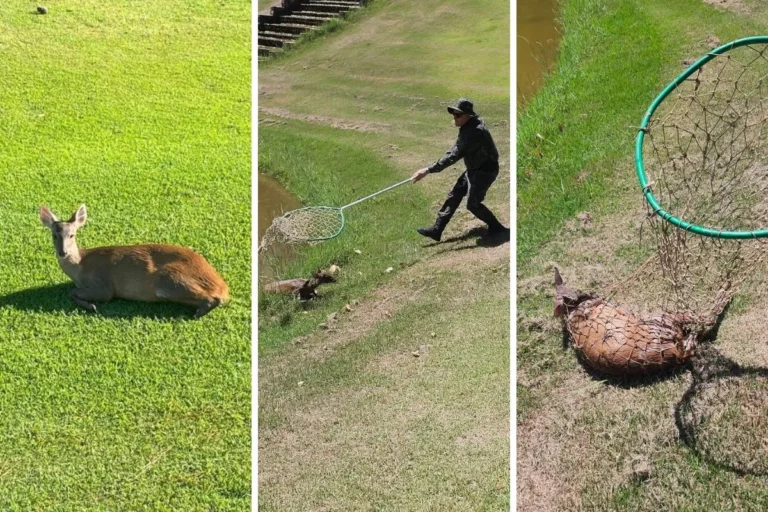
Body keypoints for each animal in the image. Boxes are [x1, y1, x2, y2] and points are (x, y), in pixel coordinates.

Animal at [39, 204, 229, 318]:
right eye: (54, 235)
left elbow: (72, 292)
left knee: (213, 299)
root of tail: (222, 286)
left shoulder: (103, 285)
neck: (79, 269)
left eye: (72, 235)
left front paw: (91, 306)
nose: (62, 252)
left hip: (168, 280)